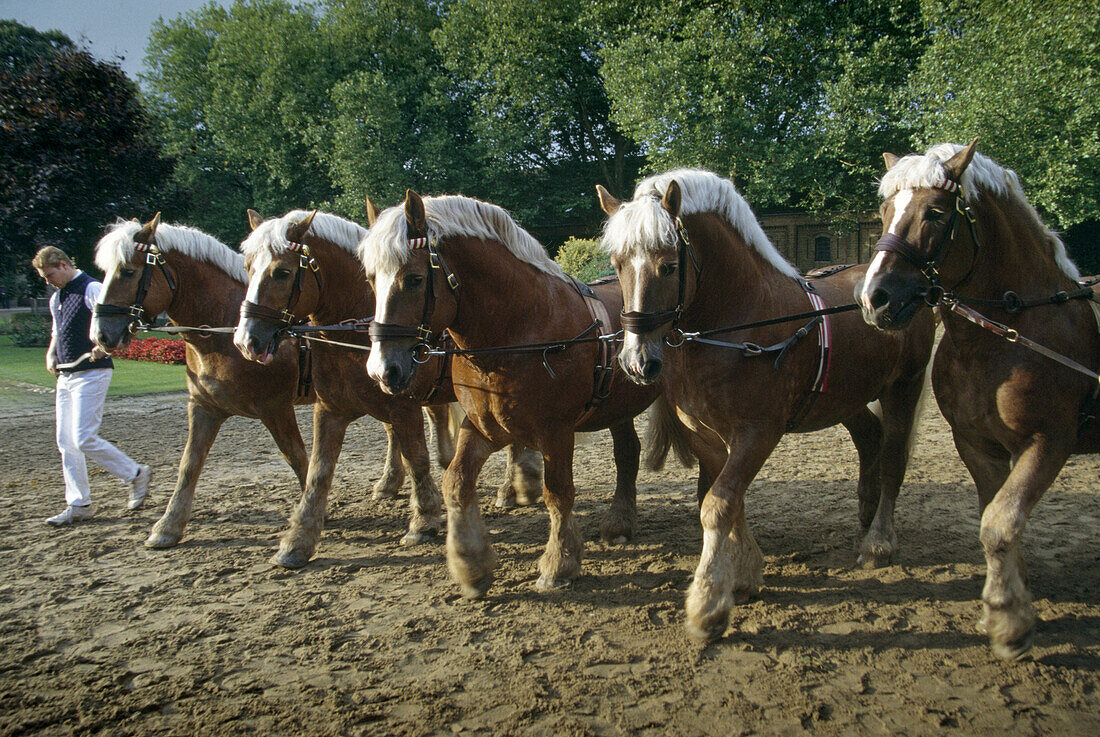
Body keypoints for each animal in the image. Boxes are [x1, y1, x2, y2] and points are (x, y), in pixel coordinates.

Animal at [89, 213, 319, 547]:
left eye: (128, 271)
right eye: (105, 272)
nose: (101, 334)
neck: (226, 329)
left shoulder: (276, 407)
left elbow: (298, 458)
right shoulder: (203, 407)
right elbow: (190, 463)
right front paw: (168, 525)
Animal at [232, 211, 541, 567]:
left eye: (282, 272)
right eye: (248, 268)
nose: (246, 340)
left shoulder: (403, 406)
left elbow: (417, 459)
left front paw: (424, 521)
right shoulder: (330, 409)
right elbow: (318, 471)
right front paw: (298, 541)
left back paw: (511, 488)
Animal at [360, 192, 668, 598]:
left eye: (413, 279)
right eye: (370, 279)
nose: (383, 370)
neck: (521, 326)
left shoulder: (556, 432)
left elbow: (558, 493)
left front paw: (559, 564)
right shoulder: (482, 426)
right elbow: (455, 482)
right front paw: (471, 565)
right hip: (617, 407)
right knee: (627, 453)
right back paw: (619, 524)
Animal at [594, 170, 937, 642]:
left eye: (668, 266)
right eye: (617, 265)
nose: (635, 361)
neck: (740, 323)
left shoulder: (758, 432)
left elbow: (718, 503)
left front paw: (708, 604)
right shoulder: (704, 433)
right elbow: (726, 499)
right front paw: (745, 575)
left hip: (905, 386)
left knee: (893, 458)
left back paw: (879, 542)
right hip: (846, 396)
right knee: (870, 438)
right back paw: (865, 518)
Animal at [858, 141, 1100, 660]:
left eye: (935, 212)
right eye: (884, 211)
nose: (875, 298)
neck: (1010, 335)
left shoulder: (1048, 443)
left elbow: (1000, 522)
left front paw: (1008, 621)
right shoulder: (976, 444)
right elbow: (997, 518)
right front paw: (1011, 596)